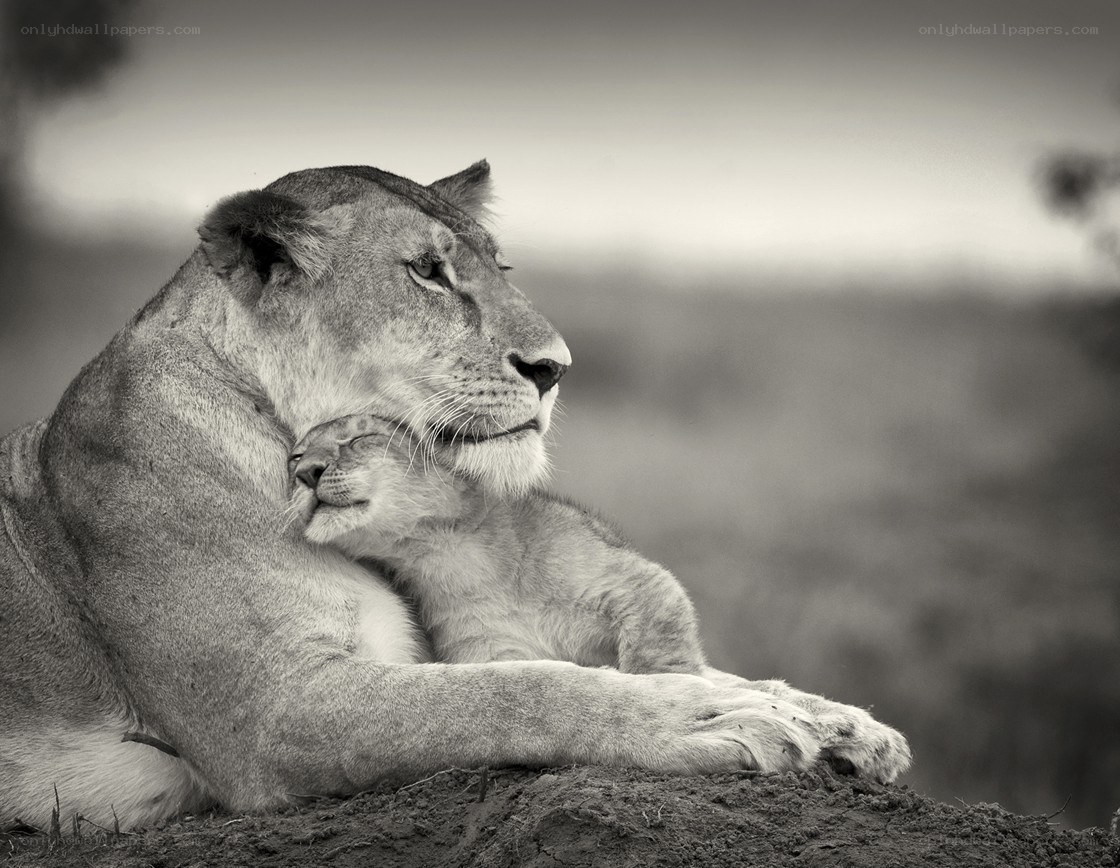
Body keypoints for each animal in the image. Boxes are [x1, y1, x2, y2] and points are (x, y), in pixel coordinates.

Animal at [0, 161, 909, 832]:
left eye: (498, 269)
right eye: (428, 274)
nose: (555, 368)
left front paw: (837, 725)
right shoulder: (268, 713)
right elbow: (518, 692)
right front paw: (714, 719)